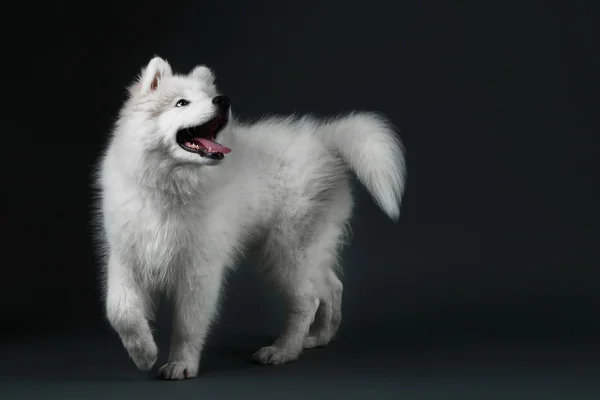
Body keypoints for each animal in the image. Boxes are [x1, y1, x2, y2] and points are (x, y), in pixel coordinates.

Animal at [95, 55, 408, 378]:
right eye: (181, 103)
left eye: (209, 97)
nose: (223, 100)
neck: (169, 187)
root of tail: (325, 142)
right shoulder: (126, 257)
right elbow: (118, 310)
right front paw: (143, 352)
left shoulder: (200, 269)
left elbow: (188, 324)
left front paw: (181, 364)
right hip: (308, 248)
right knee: (332, 286)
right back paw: (320, 337)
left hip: (288, 252)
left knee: (307, 301)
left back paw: (284, 350)